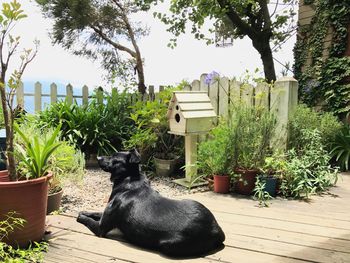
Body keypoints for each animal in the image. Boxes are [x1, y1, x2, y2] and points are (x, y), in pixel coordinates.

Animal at [77, 151, 226, 258]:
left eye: (114, 158)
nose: (98, 157)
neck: (129, 179)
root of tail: (216, 229)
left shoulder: (101, 228)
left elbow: (85, 219)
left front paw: (80, 215)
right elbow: (94, 212)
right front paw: (85, 211)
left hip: (168, 245)